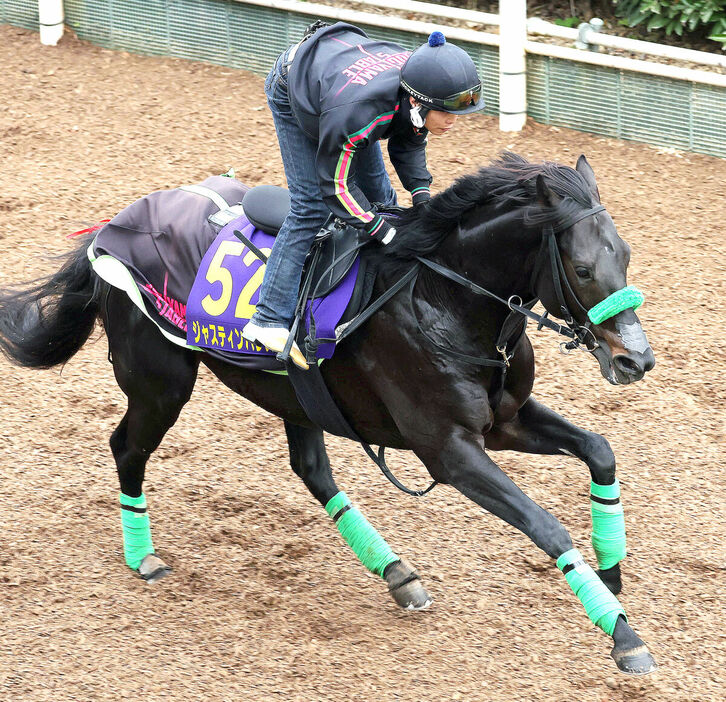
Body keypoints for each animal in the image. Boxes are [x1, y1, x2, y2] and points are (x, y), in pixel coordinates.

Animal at [0, 154, 660, 676]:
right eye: (582, 269)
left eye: (627, 256)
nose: (636, 359)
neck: (443, 298)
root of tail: (110, 229)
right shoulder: (448, 449)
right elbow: (546, 526)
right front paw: (622, 635)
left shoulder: (504, 422)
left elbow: (600, 448)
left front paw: (613, 574)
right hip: (162, 384)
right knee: (127, 449)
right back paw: (143, 556)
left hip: (292, 393)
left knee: (311, 470)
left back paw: (396, 573)